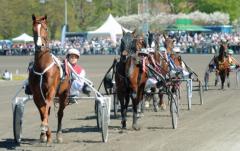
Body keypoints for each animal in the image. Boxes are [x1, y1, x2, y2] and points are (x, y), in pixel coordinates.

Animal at [29, 14, 70, 143]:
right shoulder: (36, 94)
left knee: (60, 113)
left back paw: (59, 134)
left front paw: (45, 129)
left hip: (64, 94)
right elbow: (43, 110)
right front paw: (45, 134)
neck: (42, 67)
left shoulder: (51, 90)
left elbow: (47, 106)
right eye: (33, 29)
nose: (39, 45)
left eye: (46, 28)